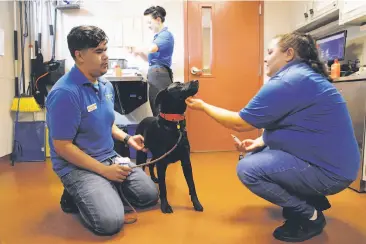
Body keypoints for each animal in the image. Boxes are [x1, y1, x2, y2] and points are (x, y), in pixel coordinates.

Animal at [134, 80, 203, 214]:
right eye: (178, 85)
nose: (196, 81)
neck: (174, 123)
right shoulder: (161, 164)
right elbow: (163, 187)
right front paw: (165, 206)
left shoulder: (186, 162)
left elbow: (192, 185)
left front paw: (196, 203)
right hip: (142, 153)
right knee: (144, 165)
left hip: (156, 155)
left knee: (151, 164)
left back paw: (153, 177)